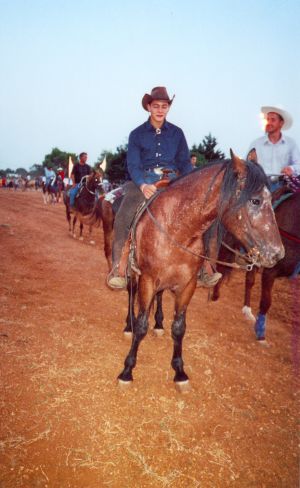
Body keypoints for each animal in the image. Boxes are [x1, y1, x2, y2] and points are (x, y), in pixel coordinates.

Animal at [116, 151, 284, 390]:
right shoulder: (147, 279)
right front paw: (127, 370)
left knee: (159, 297)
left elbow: (179, 327)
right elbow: (140, 325)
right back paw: (128, 325)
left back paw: (158, 323)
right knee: (131, 294)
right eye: (255, 200)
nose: (278, 254)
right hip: (134, 274)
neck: (178, 227)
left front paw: (179, 372)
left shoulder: (188, 284)